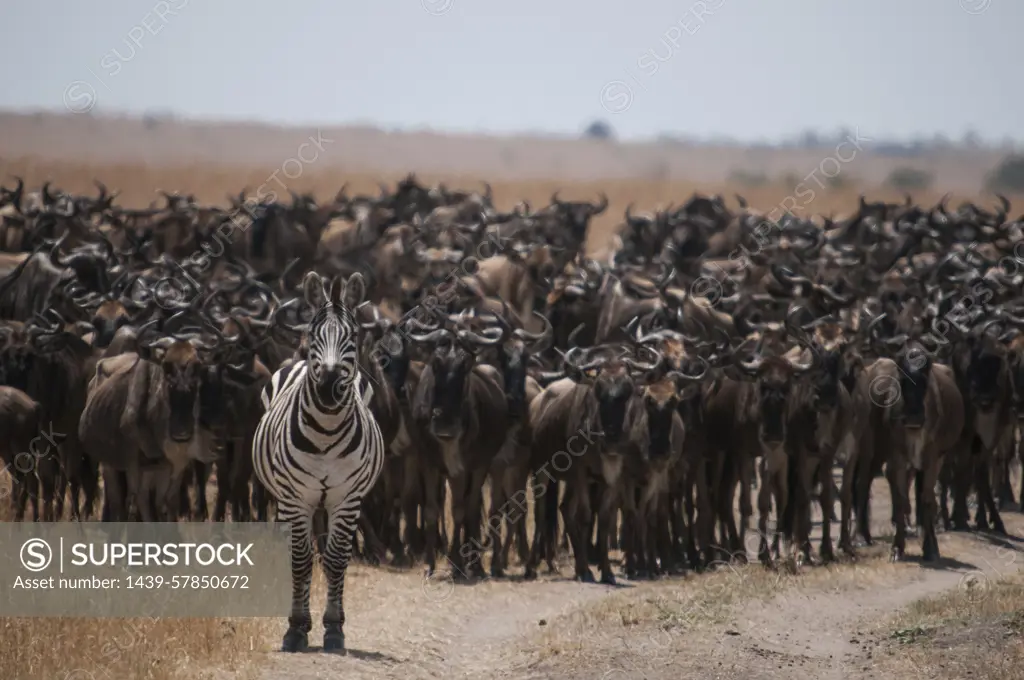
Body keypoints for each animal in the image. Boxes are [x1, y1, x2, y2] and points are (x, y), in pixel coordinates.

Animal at [253, 270, 385, 655]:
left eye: (352, 335)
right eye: (314, 335)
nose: (327, 386)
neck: (326, 431)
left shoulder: (347, 498)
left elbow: (337, 560)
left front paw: (333, 629)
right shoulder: (296, 498)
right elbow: (299, 561)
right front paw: (296, 628)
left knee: (325, 553)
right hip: (289, 497)